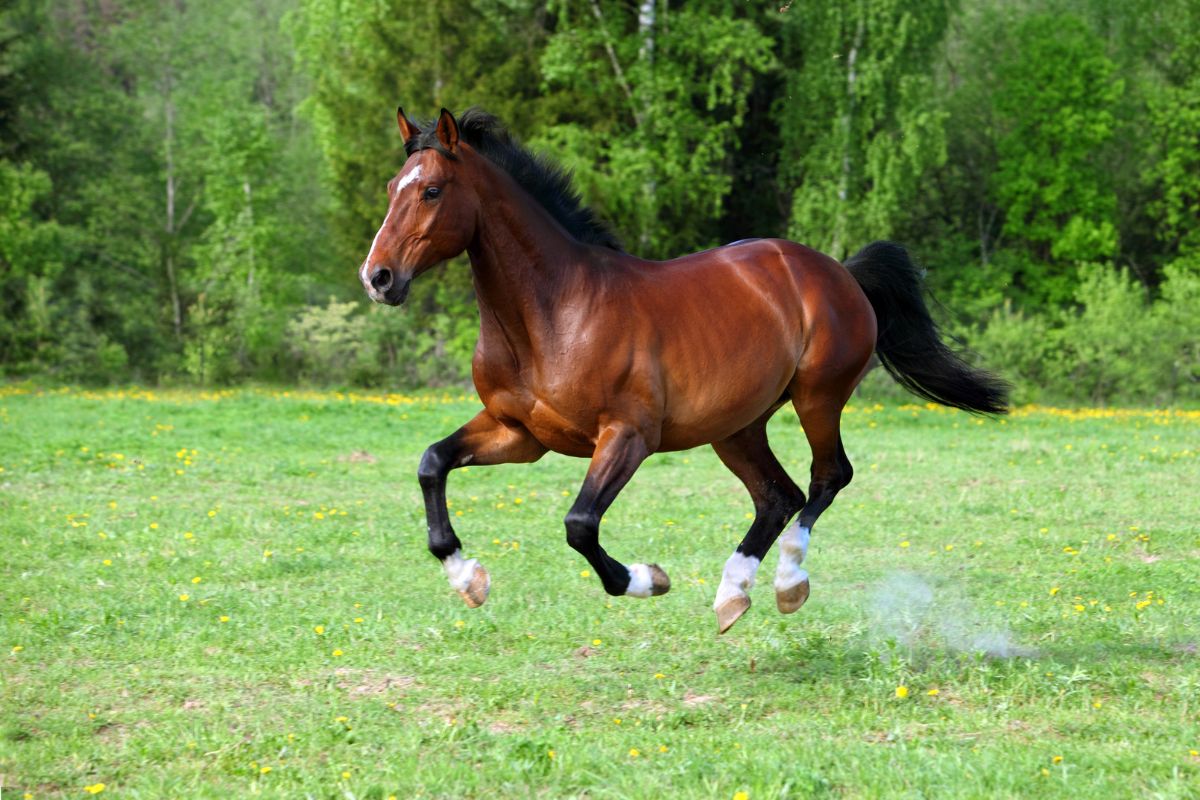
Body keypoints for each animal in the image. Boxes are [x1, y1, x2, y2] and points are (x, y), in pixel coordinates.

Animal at [360, 107, 1008, 633]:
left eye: (433, 190)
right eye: (392, 187)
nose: (378, 278)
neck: (555, 313)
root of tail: (838, 272)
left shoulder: (627, 436)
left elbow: (579, 524)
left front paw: (649, 579)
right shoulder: (520, 434)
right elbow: (432, 464)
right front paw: (468, 578)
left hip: (817, 398)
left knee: (827, 478)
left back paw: (787, 586)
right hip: (736, 427)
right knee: (778, 494)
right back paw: (731, 596)